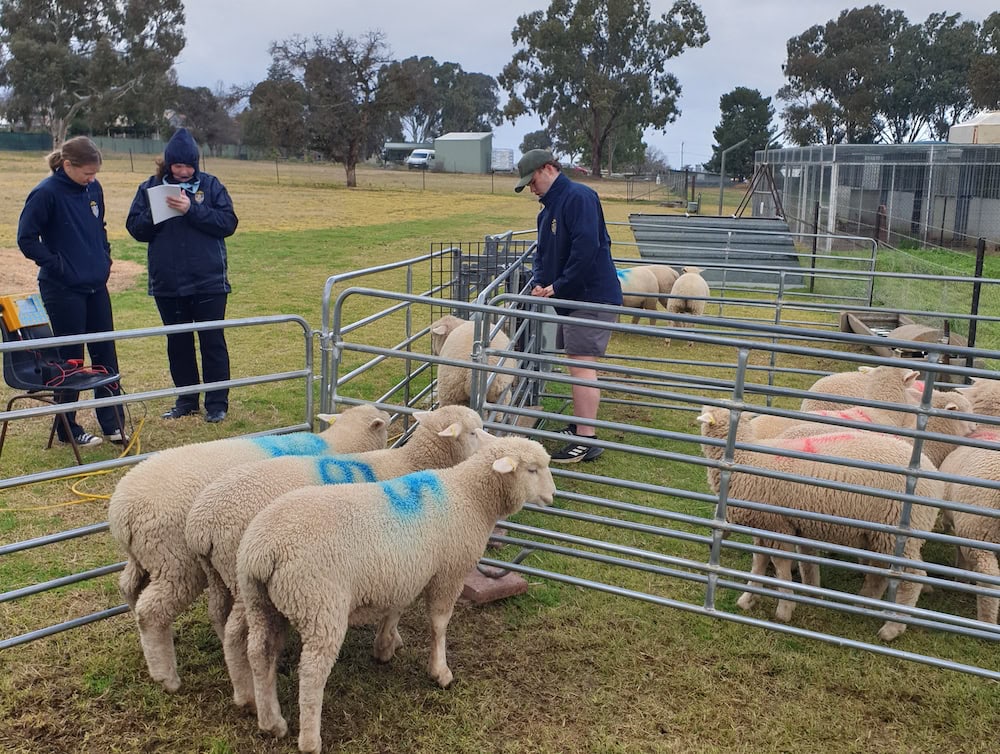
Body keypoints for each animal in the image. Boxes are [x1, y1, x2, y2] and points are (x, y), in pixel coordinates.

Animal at [108, 402, 390, 692]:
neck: (339, 445)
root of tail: (123, 509)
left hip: (147, 557)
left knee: (131, 588)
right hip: (176, 562)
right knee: (151, 612)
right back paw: (169, 677)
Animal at [184, 406, 492, 704]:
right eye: (473, 432)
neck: (410, 462)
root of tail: (203, 523)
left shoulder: (404, 559)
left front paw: (389, 641)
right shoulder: (406, 558)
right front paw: (397, 646)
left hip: (220, 574)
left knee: (219, 615)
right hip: (240, 575)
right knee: (237, 631)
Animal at [700, 402, 940, 636]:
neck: (747, 458)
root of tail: (933, 478)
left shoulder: (778, 525)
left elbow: (780, 565)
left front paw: (784, 609)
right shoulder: (763, 526)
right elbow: (759, 561)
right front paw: (748, 598)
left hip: (897, 532)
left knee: (912, 577)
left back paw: (892, 627)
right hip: (880, 535)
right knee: (880, 572)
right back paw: (865, 604)